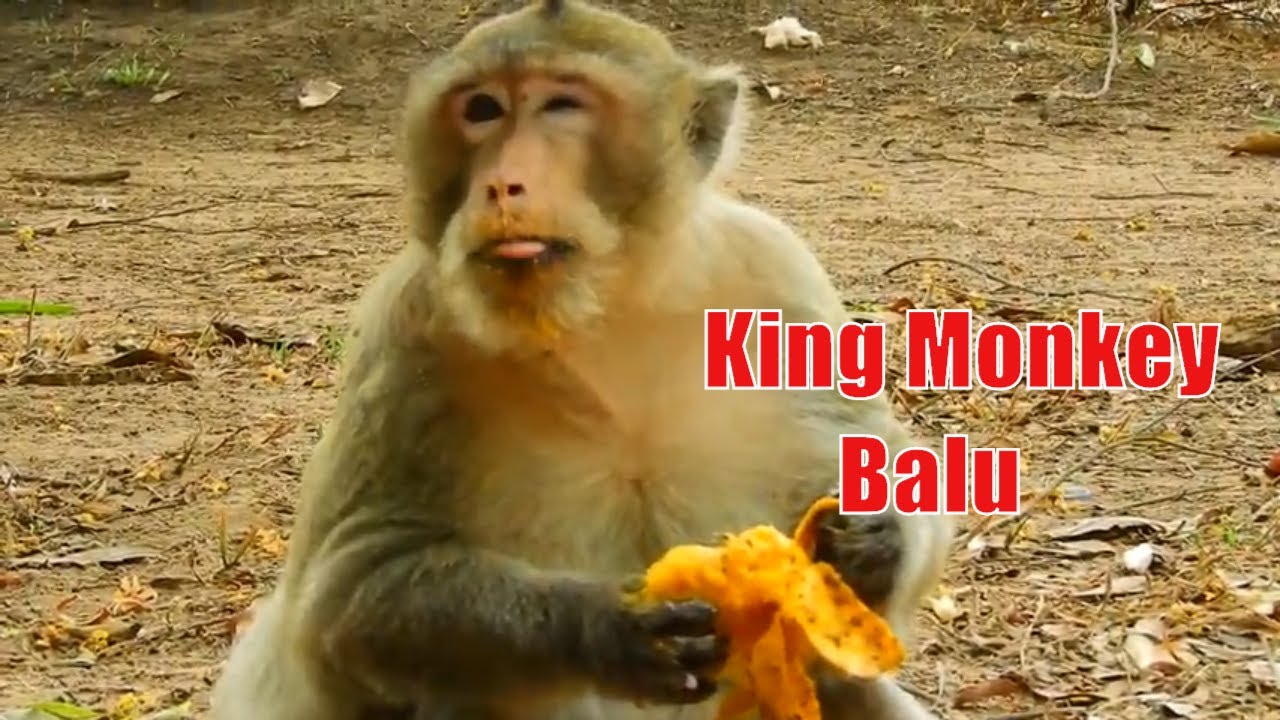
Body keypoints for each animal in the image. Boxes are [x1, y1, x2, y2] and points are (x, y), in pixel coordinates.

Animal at [208, 1, 953, 719]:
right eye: (482, 109)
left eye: (562, 106)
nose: (502, 184)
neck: (603, 305)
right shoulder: (407, 326)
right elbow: (349, 588)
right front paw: (603, 628)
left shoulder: (779, 276)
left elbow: (880, 459)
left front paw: (873, 545)